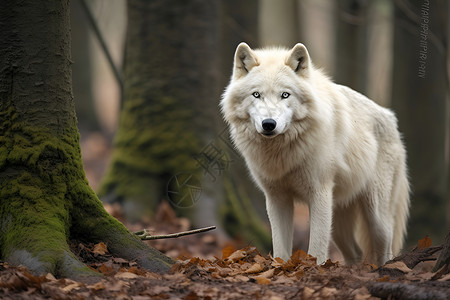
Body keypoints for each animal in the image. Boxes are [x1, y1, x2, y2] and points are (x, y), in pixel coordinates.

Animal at [220, 41, 410, 264]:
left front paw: (314, 267)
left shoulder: (319, 194)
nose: (269, 124)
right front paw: (281, 267)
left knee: (385, 247)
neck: (282, 152)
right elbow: (281, 249)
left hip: (376, 216)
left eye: (285, 94)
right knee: (356, 254)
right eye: (256, 94)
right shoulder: (277, 199)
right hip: (338, 223)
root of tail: (391, 117)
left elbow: (317, 249)